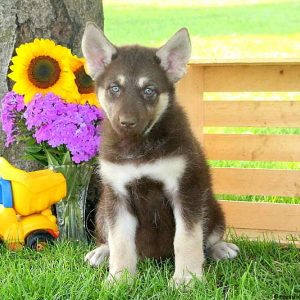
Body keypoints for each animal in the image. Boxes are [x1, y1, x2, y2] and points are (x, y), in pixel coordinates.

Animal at [81, 23, 239, 286]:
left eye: (149, 90)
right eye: (115, 87)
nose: (127, 123)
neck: (139, 146)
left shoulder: (185, 190)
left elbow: (187, 239)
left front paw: (186, 279)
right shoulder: (119, 195)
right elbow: (120, 242)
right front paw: (119, 279)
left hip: (212, 206)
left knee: (209, 237)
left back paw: (220, 248)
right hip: (103, 208)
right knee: (107, 238)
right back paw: (101, 252)